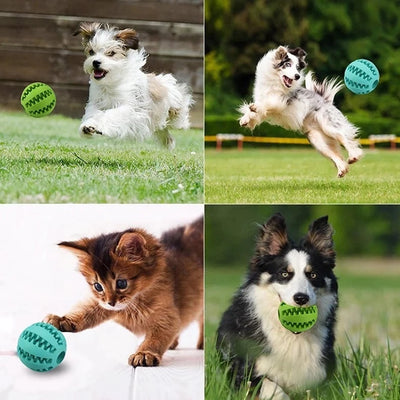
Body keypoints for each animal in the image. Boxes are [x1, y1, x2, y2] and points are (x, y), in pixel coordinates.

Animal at [44, 217, 203, 368]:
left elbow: (157, 337)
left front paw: (144, 353)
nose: (111, 302)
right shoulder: (101, 304)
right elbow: (85, 310)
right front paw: (62, 319)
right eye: (98, 286)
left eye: (121, 283)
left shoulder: (167, 316)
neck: (134, 304)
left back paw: (201, 344)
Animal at [217, 214, 340, 400]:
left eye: (312, 275)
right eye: (284, 274)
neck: (292, 336)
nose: (301, 298)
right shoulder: (243, 373)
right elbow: (272, 386)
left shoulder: (323, 374)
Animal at [239, 45, 364, 177]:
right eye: (287, 64)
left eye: (298, 68)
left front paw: (255, 108)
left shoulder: (281, 101)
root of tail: (326, 101)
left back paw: (354, 156)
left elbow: (268, 103)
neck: (275, 83)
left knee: (344, 137)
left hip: (329, 126)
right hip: (317, 140)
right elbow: (255, 113)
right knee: (334, 155)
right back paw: (342, 169)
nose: (297, 76)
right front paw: (245, 119)